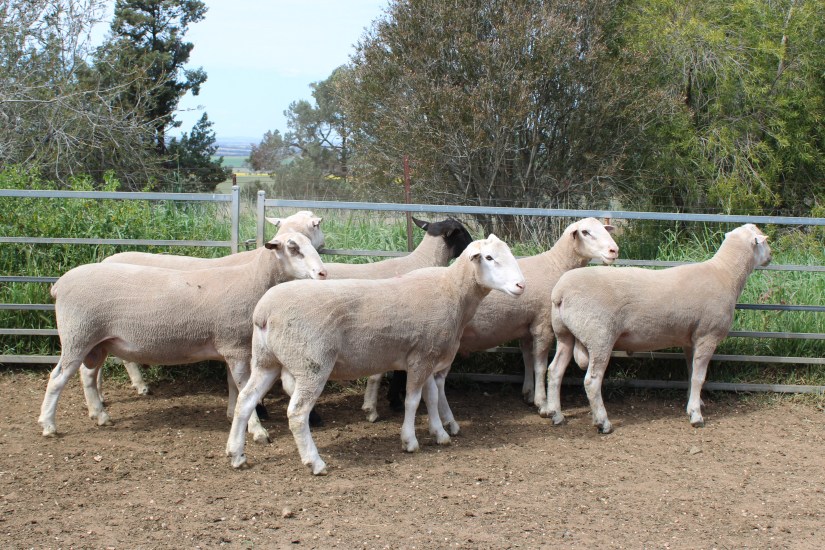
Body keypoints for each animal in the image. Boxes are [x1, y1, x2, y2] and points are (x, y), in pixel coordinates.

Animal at [38, 232, 327, 442]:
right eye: (293, 248)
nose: (323, 273)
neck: (253, 281)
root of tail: (58, 285)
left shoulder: (229, 346)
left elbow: (233, 386)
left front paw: (231, 415)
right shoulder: (235, 346)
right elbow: (244, 389)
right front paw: (256, 430)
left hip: (98, 341)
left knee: (87, 375)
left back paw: (100, 415)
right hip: (77, 334)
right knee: (58, 377)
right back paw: (48, 424)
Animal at [225, 234, 526, 475]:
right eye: (489, 257)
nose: (521, 285)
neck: (453, 291)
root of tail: (264, 312)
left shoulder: (427, 353)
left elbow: (430, 397)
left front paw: (440, 434)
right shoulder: (421, 358)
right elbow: (413, 401)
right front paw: (410, 441)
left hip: (267, 360)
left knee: (245, 400)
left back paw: (236, 454)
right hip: (312, 364)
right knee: (297, 413)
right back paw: (315, 462)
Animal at [365, 217, 619, 428]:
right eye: (586, 232)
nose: (614, 250)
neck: (557, 265)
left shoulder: (525, 325)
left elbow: (527, 358)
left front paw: (528, 393)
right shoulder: (542, 323)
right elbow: (539, 364)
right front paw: (542, 403)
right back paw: (378, 407)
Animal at [543, 223, 772, 433]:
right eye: (764, 241)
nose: (771, 255)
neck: (726, 274)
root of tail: (560, 292)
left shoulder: (690, 339)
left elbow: (691, 372)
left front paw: (694, 403)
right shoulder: (708, 335)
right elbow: (699, 376)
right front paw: (696, 416)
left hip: (564, 333)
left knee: (555, 371)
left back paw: (556, 415)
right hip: (600, 336)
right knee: (592, 381)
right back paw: (602, 422)